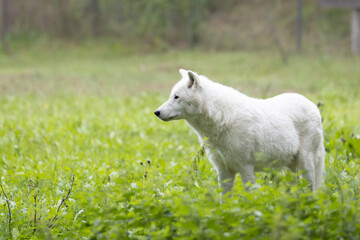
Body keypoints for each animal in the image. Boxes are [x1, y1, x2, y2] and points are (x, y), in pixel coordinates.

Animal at [153, 69, 324, 199]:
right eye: (171, 96)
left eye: (176, 97)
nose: (156, 112)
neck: (221, 119)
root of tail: (313, 105)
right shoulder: (223, 171)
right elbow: (224, 201)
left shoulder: (246, 168)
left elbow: (250, 198)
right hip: (290, 169)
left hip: (306, 164)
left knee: (312, 190)